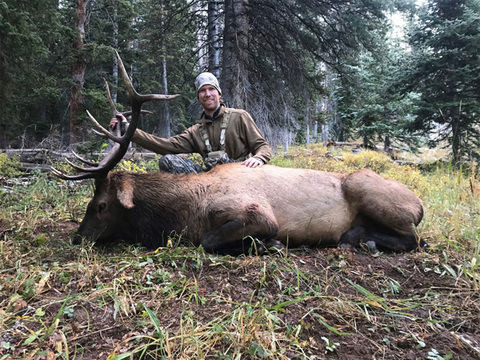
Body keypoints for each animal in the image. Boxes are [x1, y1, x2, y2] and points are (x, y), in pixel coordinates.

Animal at [53, 52, 428, 256]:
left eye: (101, 205)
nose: (77, 237)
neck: (184, 212)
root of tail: (420, 204)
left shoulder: (259, 215)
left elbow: (208, 240)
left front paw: (267, 246)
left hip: (372, 194)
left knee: (413, 238)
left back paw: (360, 240)